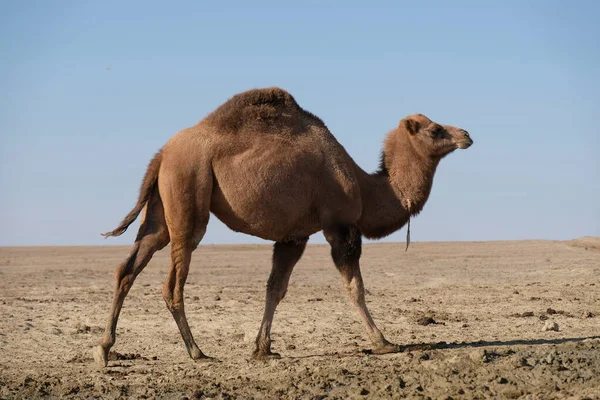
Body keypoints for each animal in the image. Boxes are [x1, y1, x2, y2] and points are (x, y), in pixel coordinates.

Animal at [91, 87, 474, 366]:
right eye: (435, 129)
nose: (467, 135)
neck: (365, 187)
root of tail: (161, 154)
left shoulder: (295, 236)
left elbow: (275, 288)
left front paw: (262, 348)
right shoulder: (340, 226)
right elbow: (355, 287)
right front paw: (383, 342)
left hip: (162, 206)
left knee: (129, 266)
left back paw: (104, 349)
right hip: (189, 188)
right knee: (172, 281)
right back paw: (197, 352)